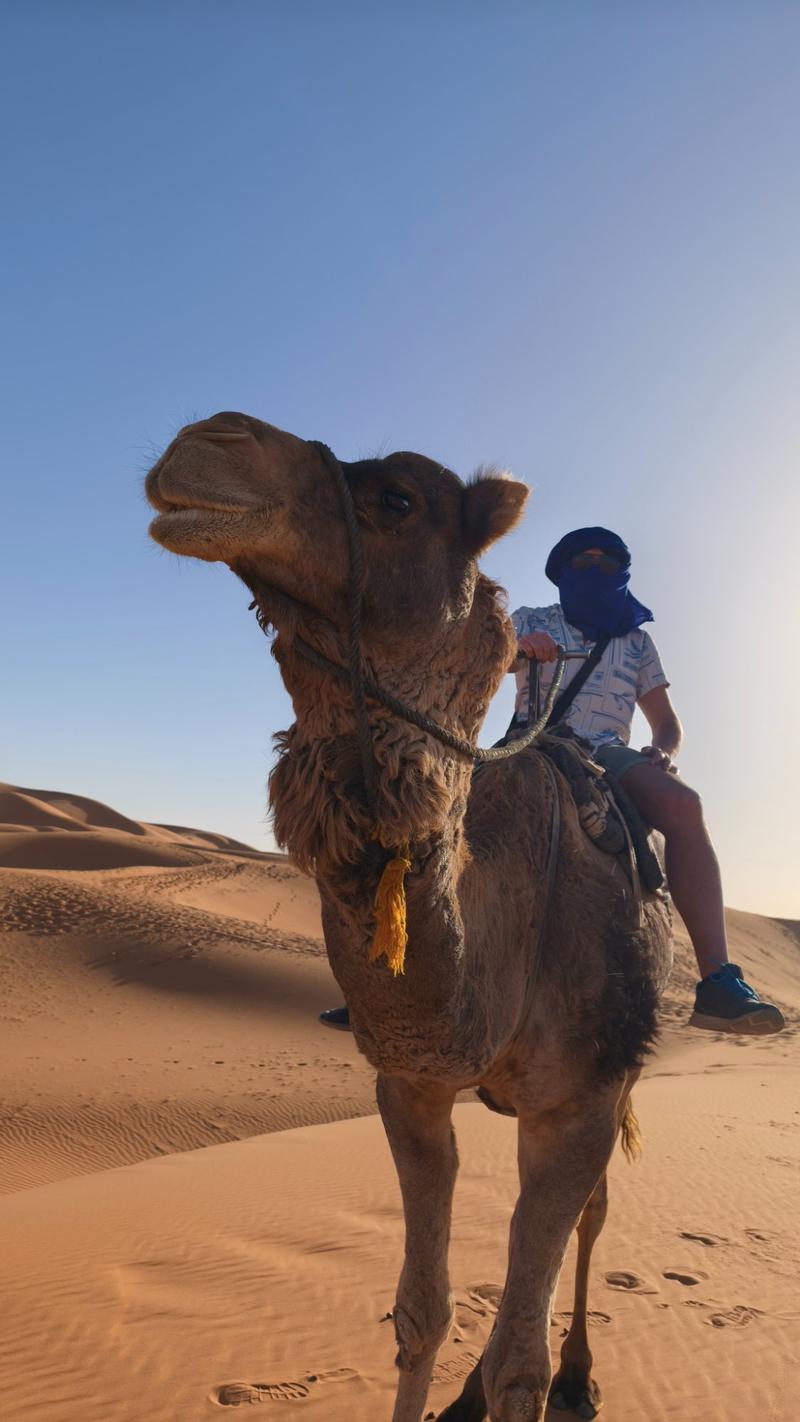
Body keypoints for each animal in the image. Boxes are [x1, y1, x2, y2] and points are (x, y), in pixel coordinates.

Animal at [145, 413, 673, 1422]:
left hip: (624, 1072)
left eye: (397, 498)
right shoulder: (412, 1084)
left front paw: (543, 1375)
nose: (204, 436)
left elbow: (521, 1364)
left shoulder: (581, 1101)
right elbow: (422, 1312)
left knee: (588, 1223)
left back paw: (581, 1374)